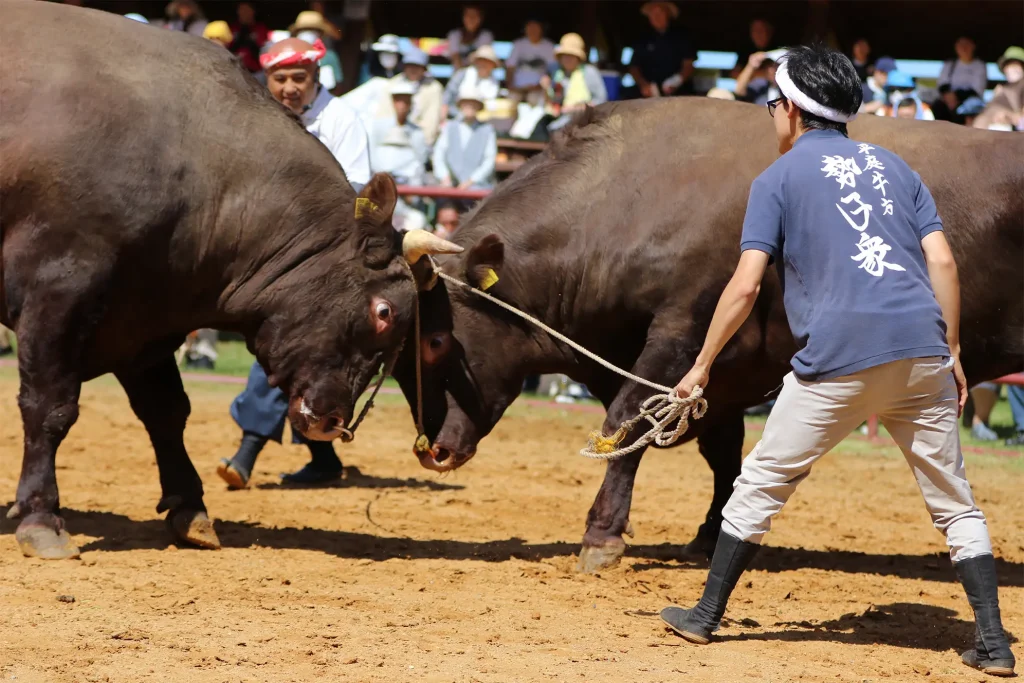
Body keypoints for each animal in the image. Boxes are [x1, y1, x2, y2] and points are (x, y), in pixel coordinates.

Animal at [395, 98, 1024, 573]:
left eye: (437, 342)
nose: (433, 451)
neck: (626, 198)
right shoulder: (714, 375)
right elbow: (722, 453)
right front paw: (709, 533)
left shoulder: (682, 334)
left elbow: (626, 423)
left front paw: (602, 536)